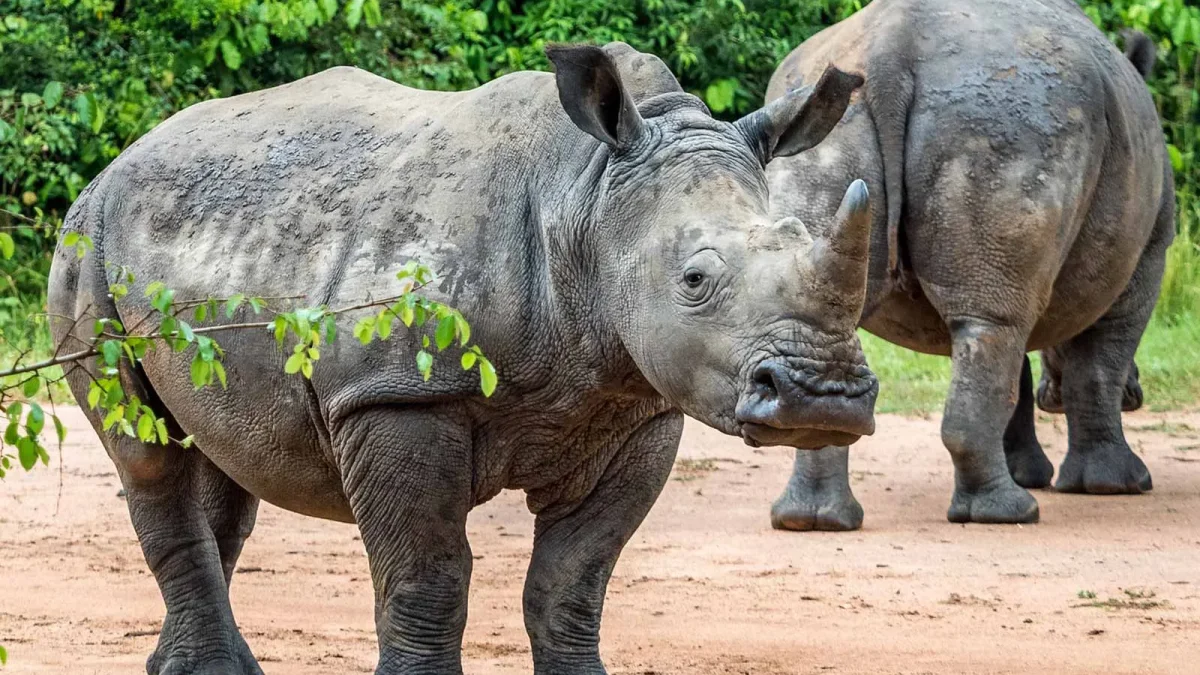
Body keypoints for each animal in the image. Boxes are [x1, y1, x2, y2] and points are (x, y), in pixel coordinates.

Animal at [49, 43, 877, 674]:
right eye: (695, 280)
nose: (823, 397)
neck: (587, 194)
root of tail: (118, 162)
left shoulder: (637, 408)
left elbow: (572, 584)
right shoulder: (396, 395)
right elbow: (429, 578)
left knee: (222, 457)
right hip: (86, 246)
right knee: (148, 455)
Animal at [763, 0, 1174, 528]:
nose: (1137, 395)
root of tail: (889, 51)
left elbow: (1019, 368)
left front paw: (1031, 471)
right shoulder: (1149, 253)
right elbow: (1100, 362)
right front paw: (1115, 485)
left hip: (830, 125)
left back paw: (813, 521)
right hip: (1014, 119)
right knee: (995, 323)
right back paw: (1009, 515)